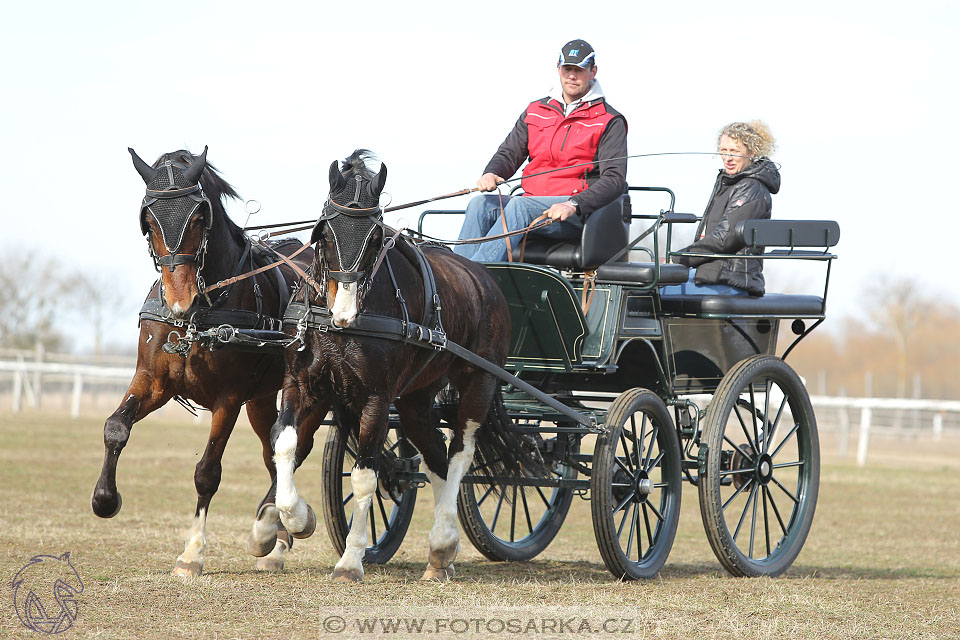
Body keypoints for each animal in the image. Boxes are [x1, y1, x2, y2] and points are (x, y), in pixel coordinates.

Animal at [90, 148, 322, 576]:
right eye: (149, 220)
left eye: (199, 217)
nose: (179, 298)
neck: (200, 314)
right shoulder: (153, 382)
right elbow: (115, 427)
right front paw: (104, 499)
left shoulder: (227, 399)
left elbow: (207, 472)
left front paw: (192, 553)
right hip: (261, 399)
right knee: (273, 453)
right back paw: (275, 535)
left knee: (296, 447)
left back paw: (281, 526)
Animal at [270, 150, 544, 580]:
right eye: (324, 234)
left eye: (375, 238)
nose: (344, 313)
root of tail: (484, 278)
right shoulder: (301, 385)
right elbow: (285, 446)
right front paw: (298, 518)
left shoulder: (375, 399)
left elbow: (366, 477)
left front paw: (350, 560)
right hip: (416, 397)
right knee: (435, 456)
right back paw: (441, 554)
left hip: (479, 381)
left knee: (460, 453)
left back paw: (443, 541)